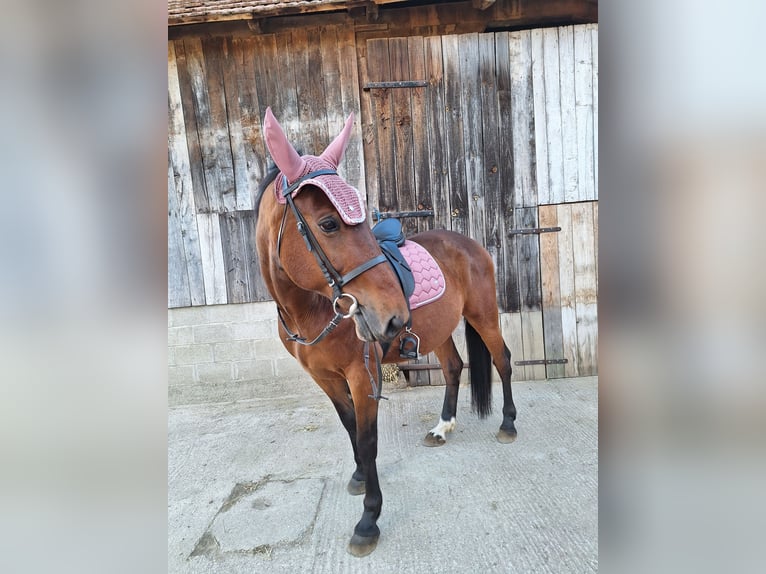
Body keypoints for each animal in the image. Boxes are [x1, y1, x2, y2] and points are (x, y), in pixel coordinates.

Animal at [255, 108, 517, 557]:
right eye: (328, 223)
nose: (394, 317)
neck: (311, 310)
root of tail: (470, 244)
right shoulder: (326, 379)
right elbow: (350, 430)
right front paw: (360, 478)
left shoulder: (363, 376)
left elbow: (369, 440)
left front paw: (368, 520)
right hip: (440, 331)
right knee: (453, 367)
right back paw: (441, 427)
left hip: (484, 316)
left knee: (502, 360)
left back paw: (508, 424)